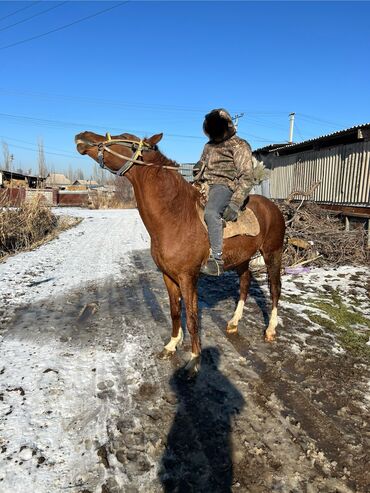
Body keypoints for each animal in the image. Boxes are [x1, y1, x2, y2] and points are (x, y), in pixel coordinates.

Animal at [74, 129, 284, 374]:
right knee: (245, 283)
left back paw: (270, 330)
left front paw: (194, 359)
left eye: (128, 141)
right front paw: (171, 345)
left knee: (275, 289)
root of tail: (273, 207)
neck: (175, 216)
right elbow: (175, 312)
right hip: (242, 258)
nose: (83, 136)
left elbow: (192, 318)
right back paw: (233, 323)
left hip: (272, 254)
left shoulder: (187, 278)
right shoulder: (168, 276)